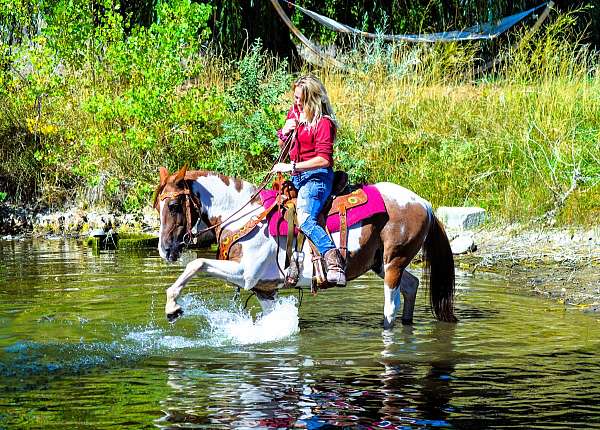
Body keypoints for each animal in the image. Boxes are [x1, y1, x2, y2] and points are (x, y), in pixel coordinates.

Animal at [156, 166, 460, 328]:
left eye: (173, 206)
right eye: (157, 206)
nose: (165, 250)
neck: (244, 216)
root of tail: (422, 202)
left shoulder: (246, 274)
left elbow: (197, 263)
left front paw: (172, 306)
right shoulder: (264, 289)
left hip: (393, 261)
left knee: (391, 305)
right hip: (379, 263)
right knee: (411, 285)